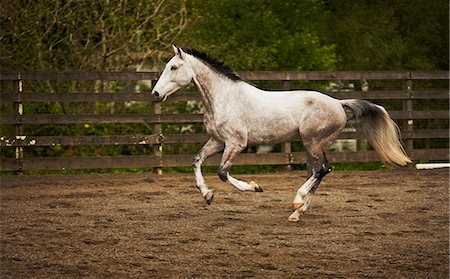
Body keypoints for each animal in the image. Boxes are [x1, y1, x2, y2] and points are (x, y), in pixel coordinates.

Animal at [151, 44, 412, 222]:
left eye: (173, 67)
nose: (155, 93)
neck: (224, 98)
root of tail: (339, 104)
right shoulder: (217, 141)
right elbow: (196, 161)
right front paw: (207, 195)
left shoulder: (236, 143)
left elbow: (223, 173)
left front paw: (255, 187)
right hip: (314, 145)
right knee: (318, 171)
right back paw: (298, 211)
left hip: (313, 142)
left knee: (322, 169)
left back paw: (297, 201)